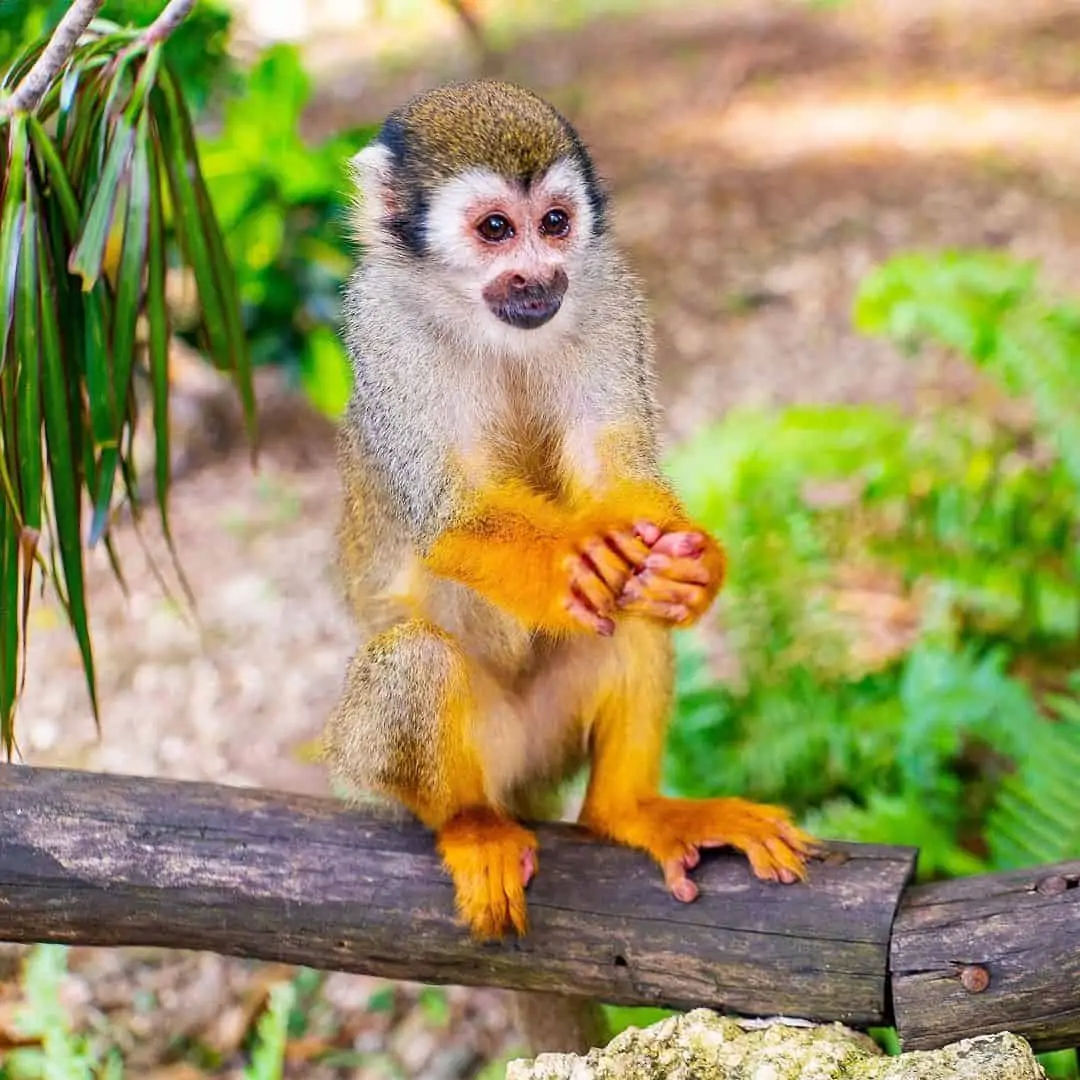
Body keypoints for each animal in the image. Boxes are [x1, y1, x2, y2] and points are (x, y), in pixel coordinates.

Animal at [325, 80, 815, 1044]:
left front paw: (693, 567)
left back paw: (629, 811)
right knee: (413, 660)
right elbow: (452, 517)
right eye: (494, 231)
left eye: (554, 223)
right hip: (375, 766)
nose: (539, 277)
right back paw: (469, 824)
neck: (480, 321)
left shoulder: (610, 294)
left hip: (546, 746)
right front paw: (571, 559)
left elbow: (618, 474)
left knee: (633, 615)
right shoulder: (383, 334)